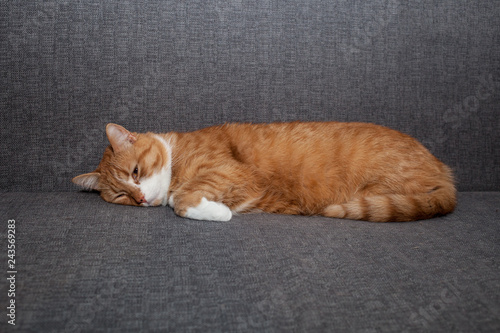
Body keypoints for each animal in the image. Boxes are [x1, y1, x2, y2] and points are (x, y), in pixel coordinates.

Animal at [71, 121, 458, 220]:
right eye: (121, 195)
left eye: (136, 172)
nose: (138, 199)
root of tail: (445, 171)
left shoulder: (233, 173)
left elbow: (183, 198)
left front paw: (219, 212)